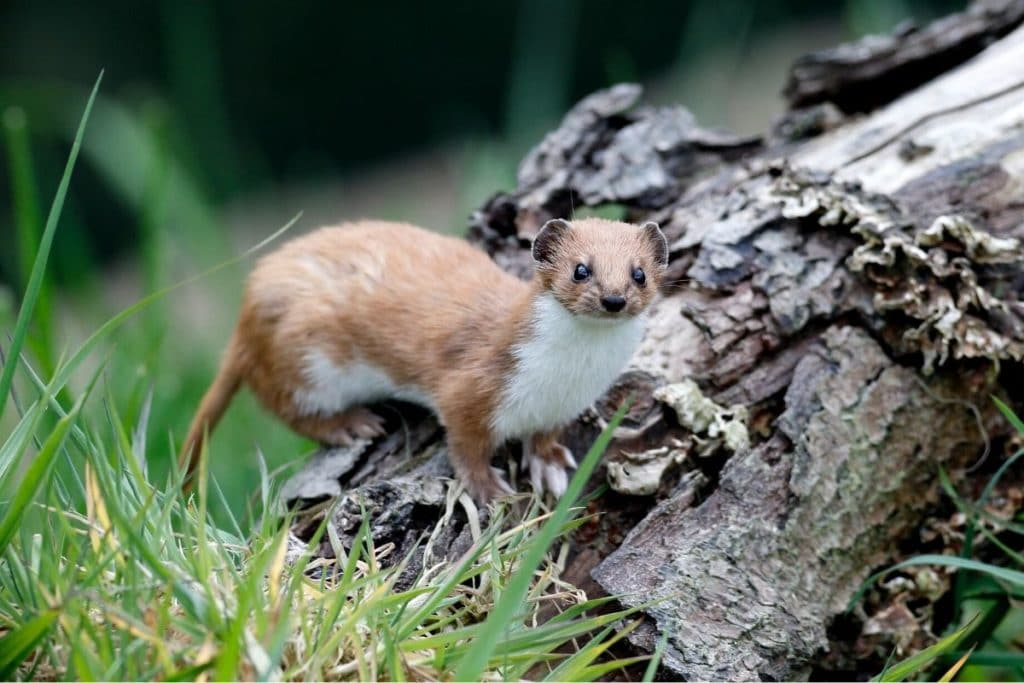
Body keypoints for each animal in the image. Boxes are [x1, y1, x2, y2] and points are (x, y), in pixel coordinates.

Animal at [180, 219, 667, 501]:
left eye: (639, 272)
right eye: (580, 269)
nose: (613, 299)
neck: (567, 377)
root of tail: (248, 307)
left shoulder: (561, 406)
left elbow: (545, 435)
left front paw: (548, 464)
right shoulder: (470, 387)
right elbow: (465, 442)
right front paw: (488, 488)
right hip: (305, 359)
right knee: (284, 404)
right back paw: (350, 424)